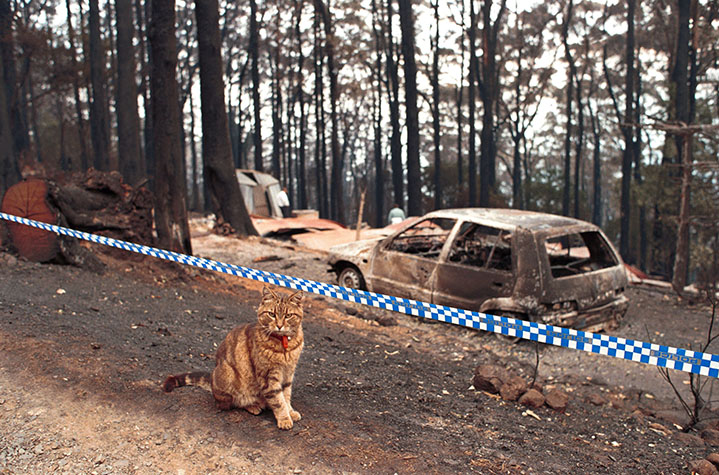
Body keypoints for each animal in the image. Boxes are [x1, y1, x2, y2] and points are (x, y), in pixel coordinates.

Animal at [162, 286, 306, 432]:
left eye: (288, 316)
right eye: (271, 314)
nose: (279, 325)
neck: (284, 344)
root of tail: (212, 380)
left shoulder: (288, 373)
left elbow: (286, 396)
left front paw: (291, 412)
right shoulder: (268, 376)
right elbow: (278, 401)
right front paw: (284, 419)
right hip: (228, 375)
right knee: (228, 403)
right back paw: (253, 406)